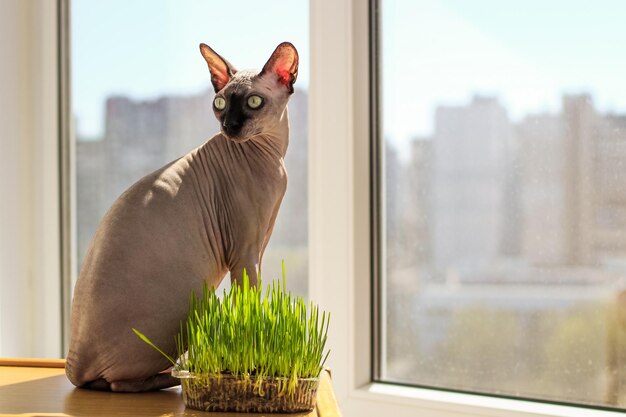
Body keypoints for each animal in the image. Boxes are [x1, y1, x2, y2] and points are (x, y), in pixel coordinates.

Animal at [65, 41, 298, 390]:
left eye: (254, 102)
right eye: (220, 103)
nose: (229, 126)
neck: (272, 156)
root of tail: (73, 361)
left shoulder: (258, 246)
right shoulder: (246, 253)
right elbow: (250, 311)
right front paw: (256, 363)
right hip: (188, 304)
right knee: (119, 383)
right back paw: (174, 378)